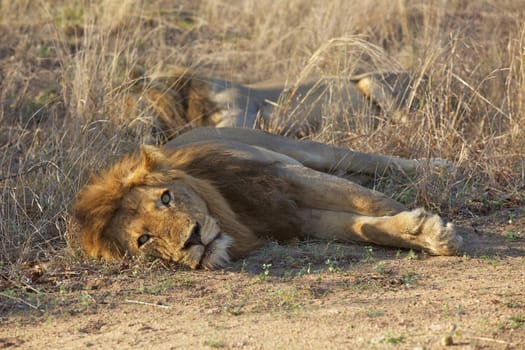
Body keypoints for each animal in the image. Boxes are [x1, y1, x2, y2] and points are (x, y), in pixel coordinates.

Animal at [71, 127, 460, 270]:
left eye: (166, 198)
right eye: (144, 239)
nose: (193, 239)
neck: (235, 216)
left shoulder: (285, 176)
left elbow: (372, 203)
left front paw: (433, 229)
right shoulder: (297, 218)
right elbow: (364, 227)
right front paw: (417, 232)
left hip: (298, 148)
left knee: (365, 160)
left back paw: (441, 167)